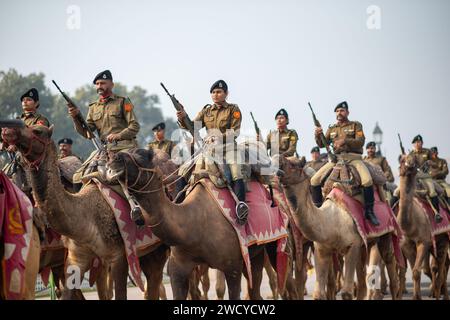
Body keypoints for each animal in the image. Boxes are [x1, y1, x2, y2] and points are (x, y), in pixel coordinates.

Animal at [105, 148, 286, 300]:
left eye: (141, 156)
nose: (113, 159)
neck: (193, 224)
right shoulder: (178, 269)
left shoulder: (232, 266)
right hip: (255, 253)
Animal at [278, 156, 400, 300]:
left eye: (293, 164)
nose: (278, 162)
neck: (331, 221)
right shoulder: (322, 249)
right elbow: (318, 294)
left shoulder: (353, 245)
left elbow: (347, 293)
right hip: (366, 244)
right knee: (363, 283)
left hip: (385, 232)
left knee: (390, 271)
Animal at [396, 155, 448, 300]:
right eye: (402, 160)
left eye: (414, 159)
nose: (409, 164)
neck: (410, 225)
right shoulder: (406, 245)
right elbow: (415, 272)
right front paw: (416, 296)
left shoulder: (423, 242)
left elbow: (417, 271)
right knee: (438, 269)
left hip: (443, 241)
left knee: (441, 269)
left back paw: (440, 294)